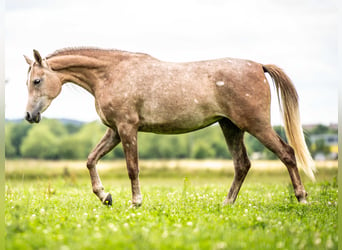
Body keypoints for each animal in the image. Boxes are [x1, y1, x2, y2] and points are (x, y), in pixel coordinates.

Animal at [23, 47, 316, 206]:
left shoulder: (127, 129)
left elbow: (132, 168)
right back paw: (227, 203)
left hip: (255, 125)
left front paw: (135, 202)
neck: (110, 74)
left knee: (287, 154)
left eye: (37, 81)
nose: (28, 115)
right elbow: (90, 159)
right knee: (242, 164)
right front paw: (105, 196)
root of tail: (259, 66)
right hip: (230, 127)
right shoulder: (115, 131)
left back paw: (302, 197)